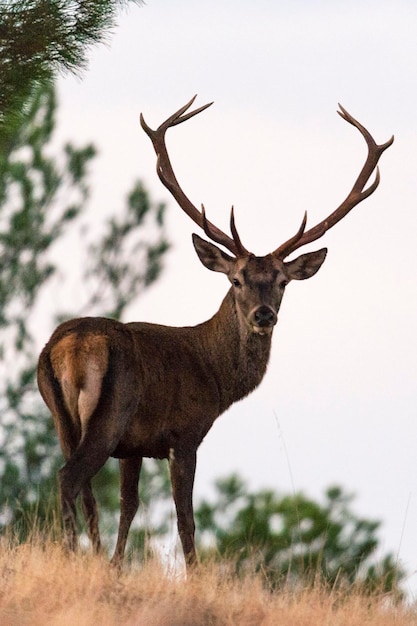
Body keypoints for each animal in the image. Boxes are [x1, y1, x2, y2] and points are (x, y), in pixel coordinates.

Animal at [37, 95, 392, 568]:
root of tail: (71, 344)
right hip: (110, 412)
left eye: (283, 281)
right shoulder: (185, 432)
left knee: (85, 490)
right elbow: (185, 518)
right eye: (236, 279)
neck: (214, 376)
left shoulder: (135, 445)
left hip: (62, 417)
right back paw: (71, 553)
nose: (264, 315)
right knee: (68, 478)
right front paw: (191, 573)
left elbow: (128, 507)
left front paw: (114, 566)